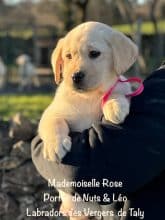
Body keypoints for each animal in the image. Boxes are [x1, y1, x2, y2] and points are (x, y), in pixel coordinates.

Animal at [38, 21, 138, 218]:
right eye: (68, 56)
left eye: (94, 54)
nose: (75, 76)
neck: (89, 97)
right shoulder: (52, 112)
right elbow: (54, 123)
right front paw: (54, 145)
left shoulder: (121, 87)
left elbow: (116, 90)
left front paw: (114, 105)